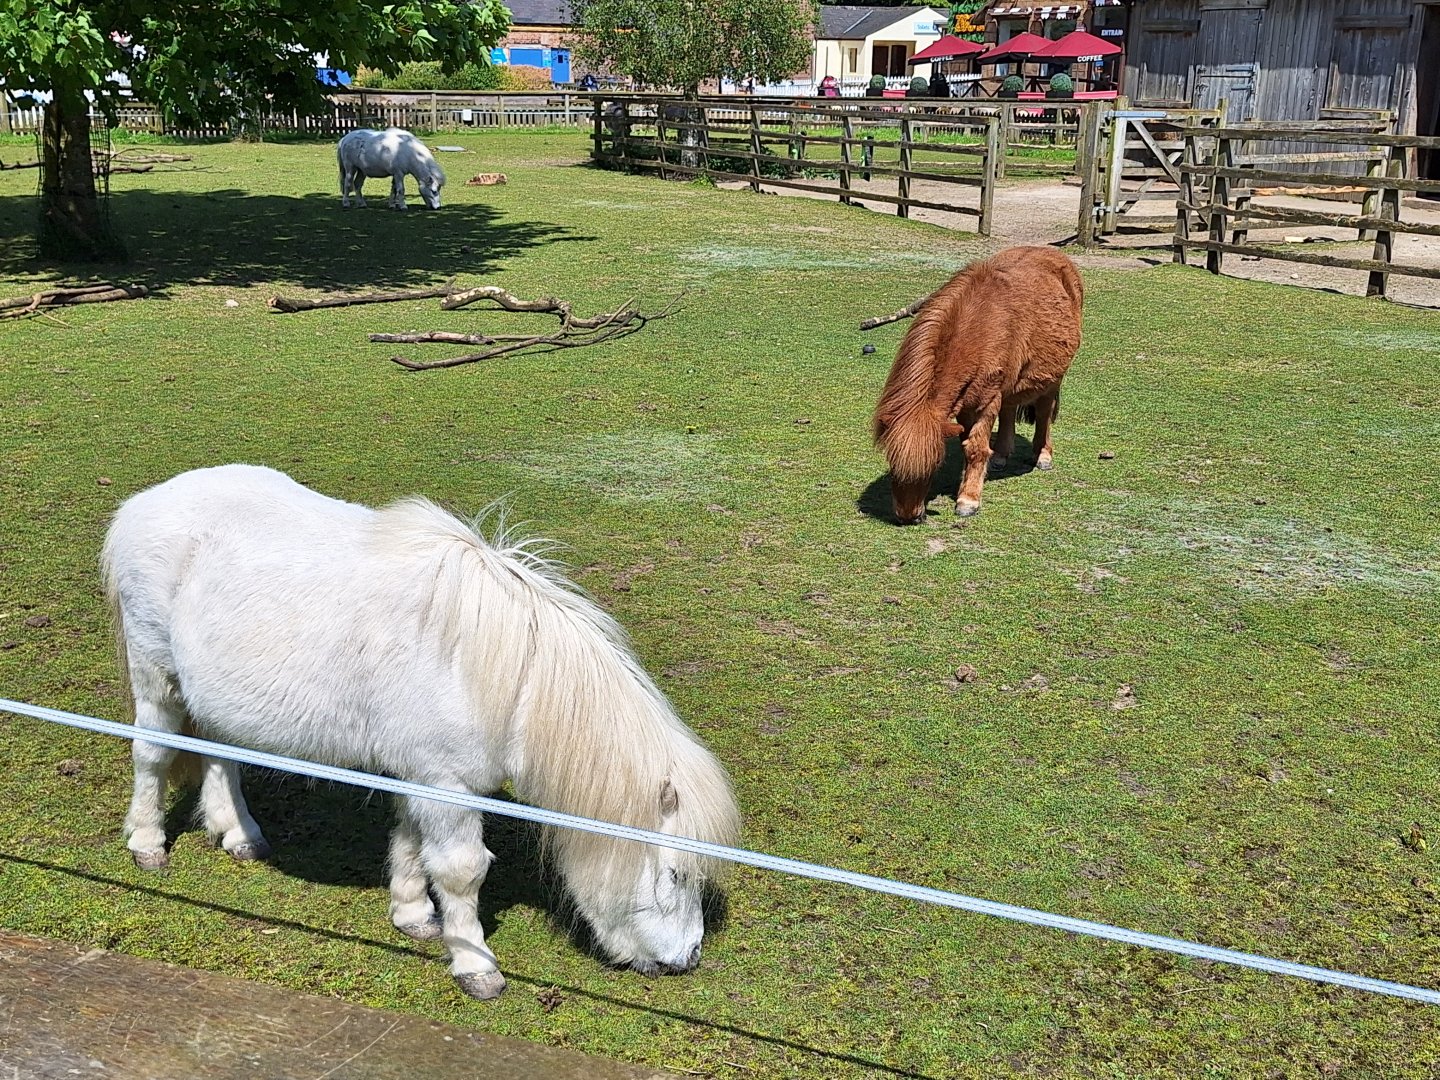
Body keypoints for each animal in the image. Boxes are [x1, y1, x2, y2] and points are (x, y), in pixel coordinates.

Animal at [102, 465, 740, 1000]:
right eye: (676, 874)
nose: (688, 958)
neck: (496, 673)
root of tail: (142, 504)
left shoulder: (421, 775)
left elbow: (411, 839)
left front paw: (412, 915)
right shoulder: (445, 783)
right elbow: (462, 869)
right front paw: (476, 965)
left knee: (218, 754)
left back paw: (238, 833)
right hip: (157, 679)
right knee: (154, 754)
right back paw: (147, 843)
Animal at [872, 246, 1083, 523]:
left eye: (936, 464)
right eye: (892, 460)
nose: (909, 517)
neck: (977, 328)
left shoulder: (987, 402)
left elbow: (976, 448)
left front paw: (968, 500)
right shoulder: (966, 402)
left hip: (1051, 379)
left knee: (1044, 411)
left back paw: (1043, 455)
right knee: (1009, 411)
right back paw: (1001, 456)